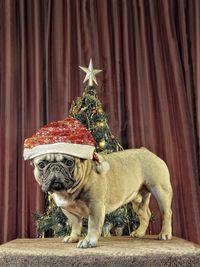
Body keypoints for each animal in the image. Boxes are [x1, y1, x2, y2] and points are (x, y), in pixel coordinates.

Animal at [30, 149, 172, 249]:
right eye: (41, 164)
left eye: (69, 162)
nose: (55, 167)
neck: (68, 192)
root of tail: (149, 152)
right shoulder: (69, 211)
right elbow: (75, 224)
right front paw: (73, 237)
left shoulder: (95, 206)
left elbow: (93, 225)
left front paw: (88, 241)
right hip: (138, 199)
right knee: (145, 214)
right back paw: (139, 233)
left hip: (160, 190)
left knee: (167, 213)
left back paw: (165, 234)